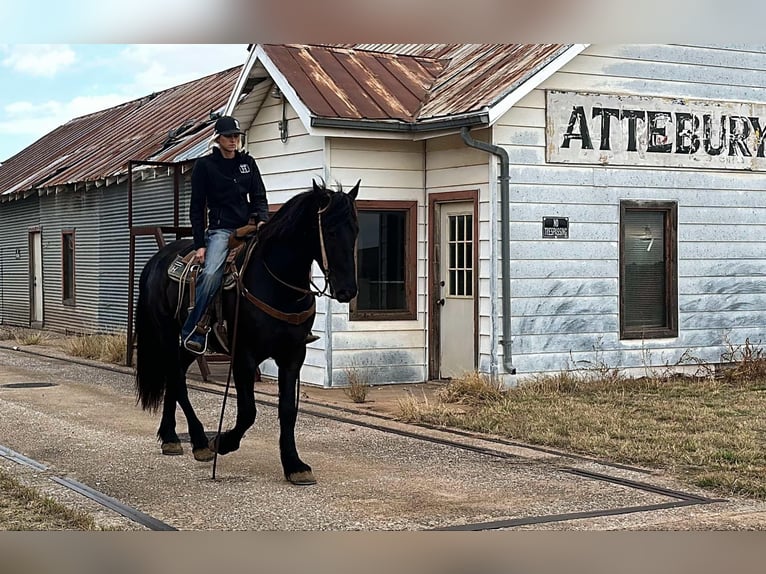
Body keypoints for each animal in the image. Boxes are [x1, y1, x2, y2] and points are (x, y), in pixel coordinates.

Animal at [134, 180, 360, 486]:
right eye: (331, 230)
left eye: (356, 229)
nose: (348, 290)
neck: (276, 282)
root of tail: (156, 260)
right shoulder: (244, 355)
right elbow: (248, 412)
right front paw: (222, 442)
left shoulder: (293, 355)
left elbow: (287, 410)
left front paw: (294, 465)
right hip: (168, 335)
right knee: (178, 380)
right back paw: (200, 441)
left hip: (188, 345)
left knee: (176, 375)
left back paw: (170, 437)